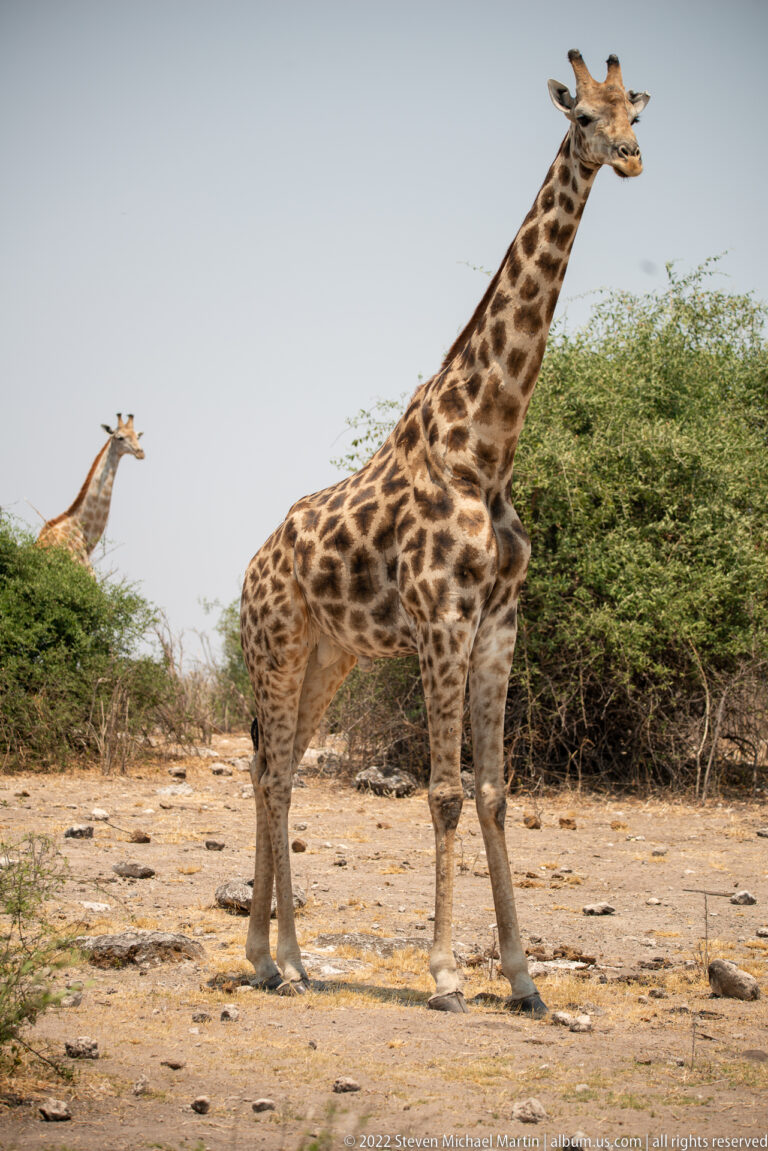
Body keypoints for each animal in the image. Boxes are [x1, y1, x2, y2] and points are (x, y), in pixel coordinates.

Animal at [240, 51, 649, 1014]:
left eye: (637, 110)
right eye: (583, 116)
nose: (630, 156)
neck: (485, 449)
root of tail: (248, 569)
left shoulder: (499, 622)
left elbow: (495, 790)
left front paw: (525, 977)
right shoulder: (442, 619)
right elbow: (442, 793)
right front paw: (445, 972)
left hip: (330, 656)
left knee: (282, 772)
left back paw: (288, 958)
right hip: (276, 646)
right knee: (271, 773)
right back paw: (274, 958)